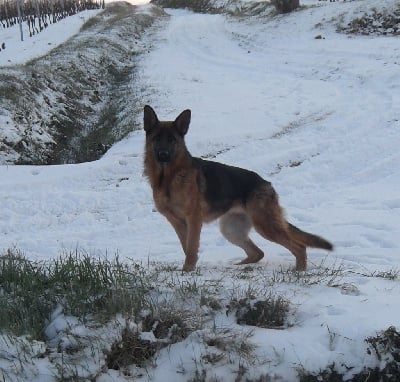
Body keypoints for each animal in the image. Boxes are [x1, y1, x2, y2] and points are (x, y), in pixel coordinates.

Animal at [142, 105, 332, 272]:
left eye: (172, 140)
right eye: (157, 139)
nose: (163, 155)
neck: (167, 178)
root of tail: (266, 183)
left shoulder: (193, 220)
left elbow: (191, 247)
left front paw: (188, 270)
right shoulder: (178, 223)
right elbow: (186, 246)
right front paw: (189, 268)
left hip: (265, 225)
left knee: (299, 247)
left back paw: (299, 270)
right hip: (231, 230)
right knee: (258, 252)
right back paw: (239, 265)